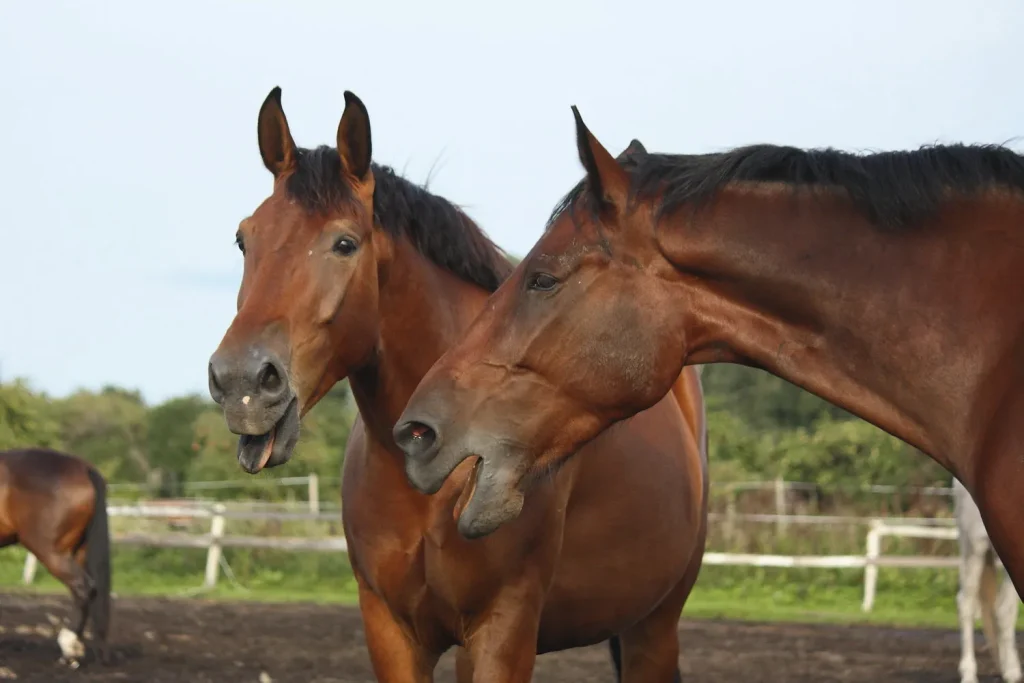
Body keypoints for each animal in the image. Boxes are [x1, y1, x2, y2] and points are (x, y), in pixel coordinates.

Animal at [207, 87, 709, 683]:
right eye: (243, 239)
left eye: (345, 244)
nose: (241, 382)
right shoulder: (391, 631)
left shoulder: (500, 630)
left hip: (654, 627)